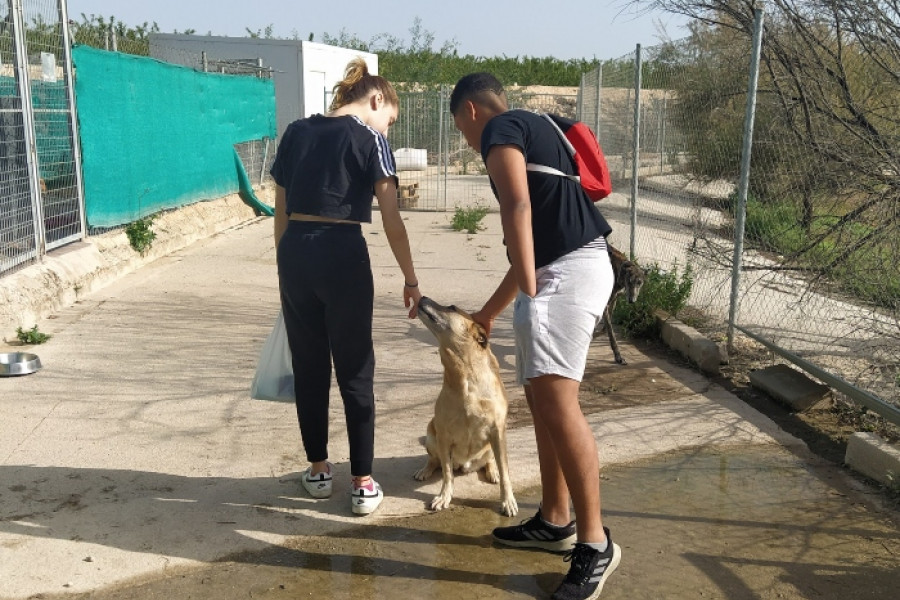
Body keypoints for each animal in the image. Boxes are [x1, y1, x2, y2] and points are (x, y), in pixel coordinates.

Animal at [414, 296, 516, 516]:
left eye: (452, 307)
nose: (422, 297)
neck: (466, 375)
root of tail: (465, 465)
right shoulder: (443, 436)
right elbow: (447, 474)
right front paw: (444, 496)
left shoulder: (498, 432)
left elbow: (505, 472)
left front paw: (508, 500)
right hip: (432, 435)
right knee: (435, 460)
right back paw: (425, 470)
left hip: (490, 446)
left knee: (490, 461)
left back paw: (492, 472)